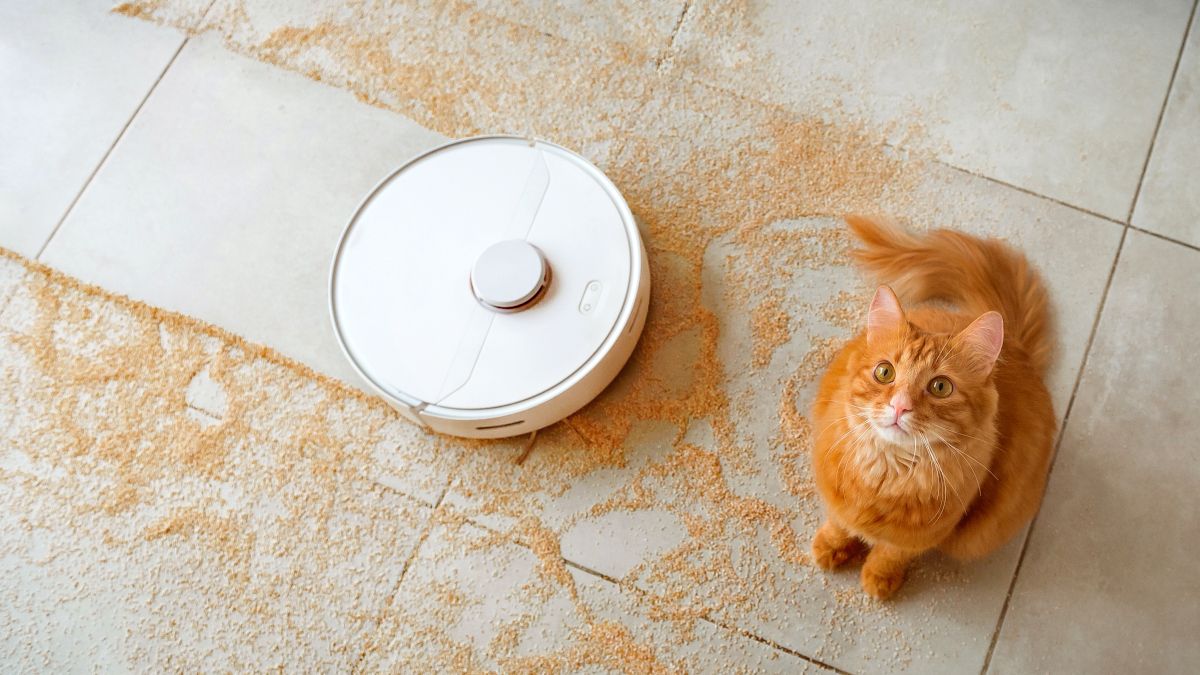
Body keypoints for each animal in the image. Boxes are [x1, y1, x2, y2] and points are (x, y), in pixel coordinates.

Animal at [811, 216, 1056, 598]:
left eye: (940, 387)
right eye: (885, 372)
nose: (900, 407)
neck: (888, 474)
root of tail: (1015, 347)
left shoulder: (921, 536)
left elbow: (890, 553)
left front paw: (879, 579)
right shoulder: (839, 500)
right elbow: (839, 524)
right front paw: (830, 547)